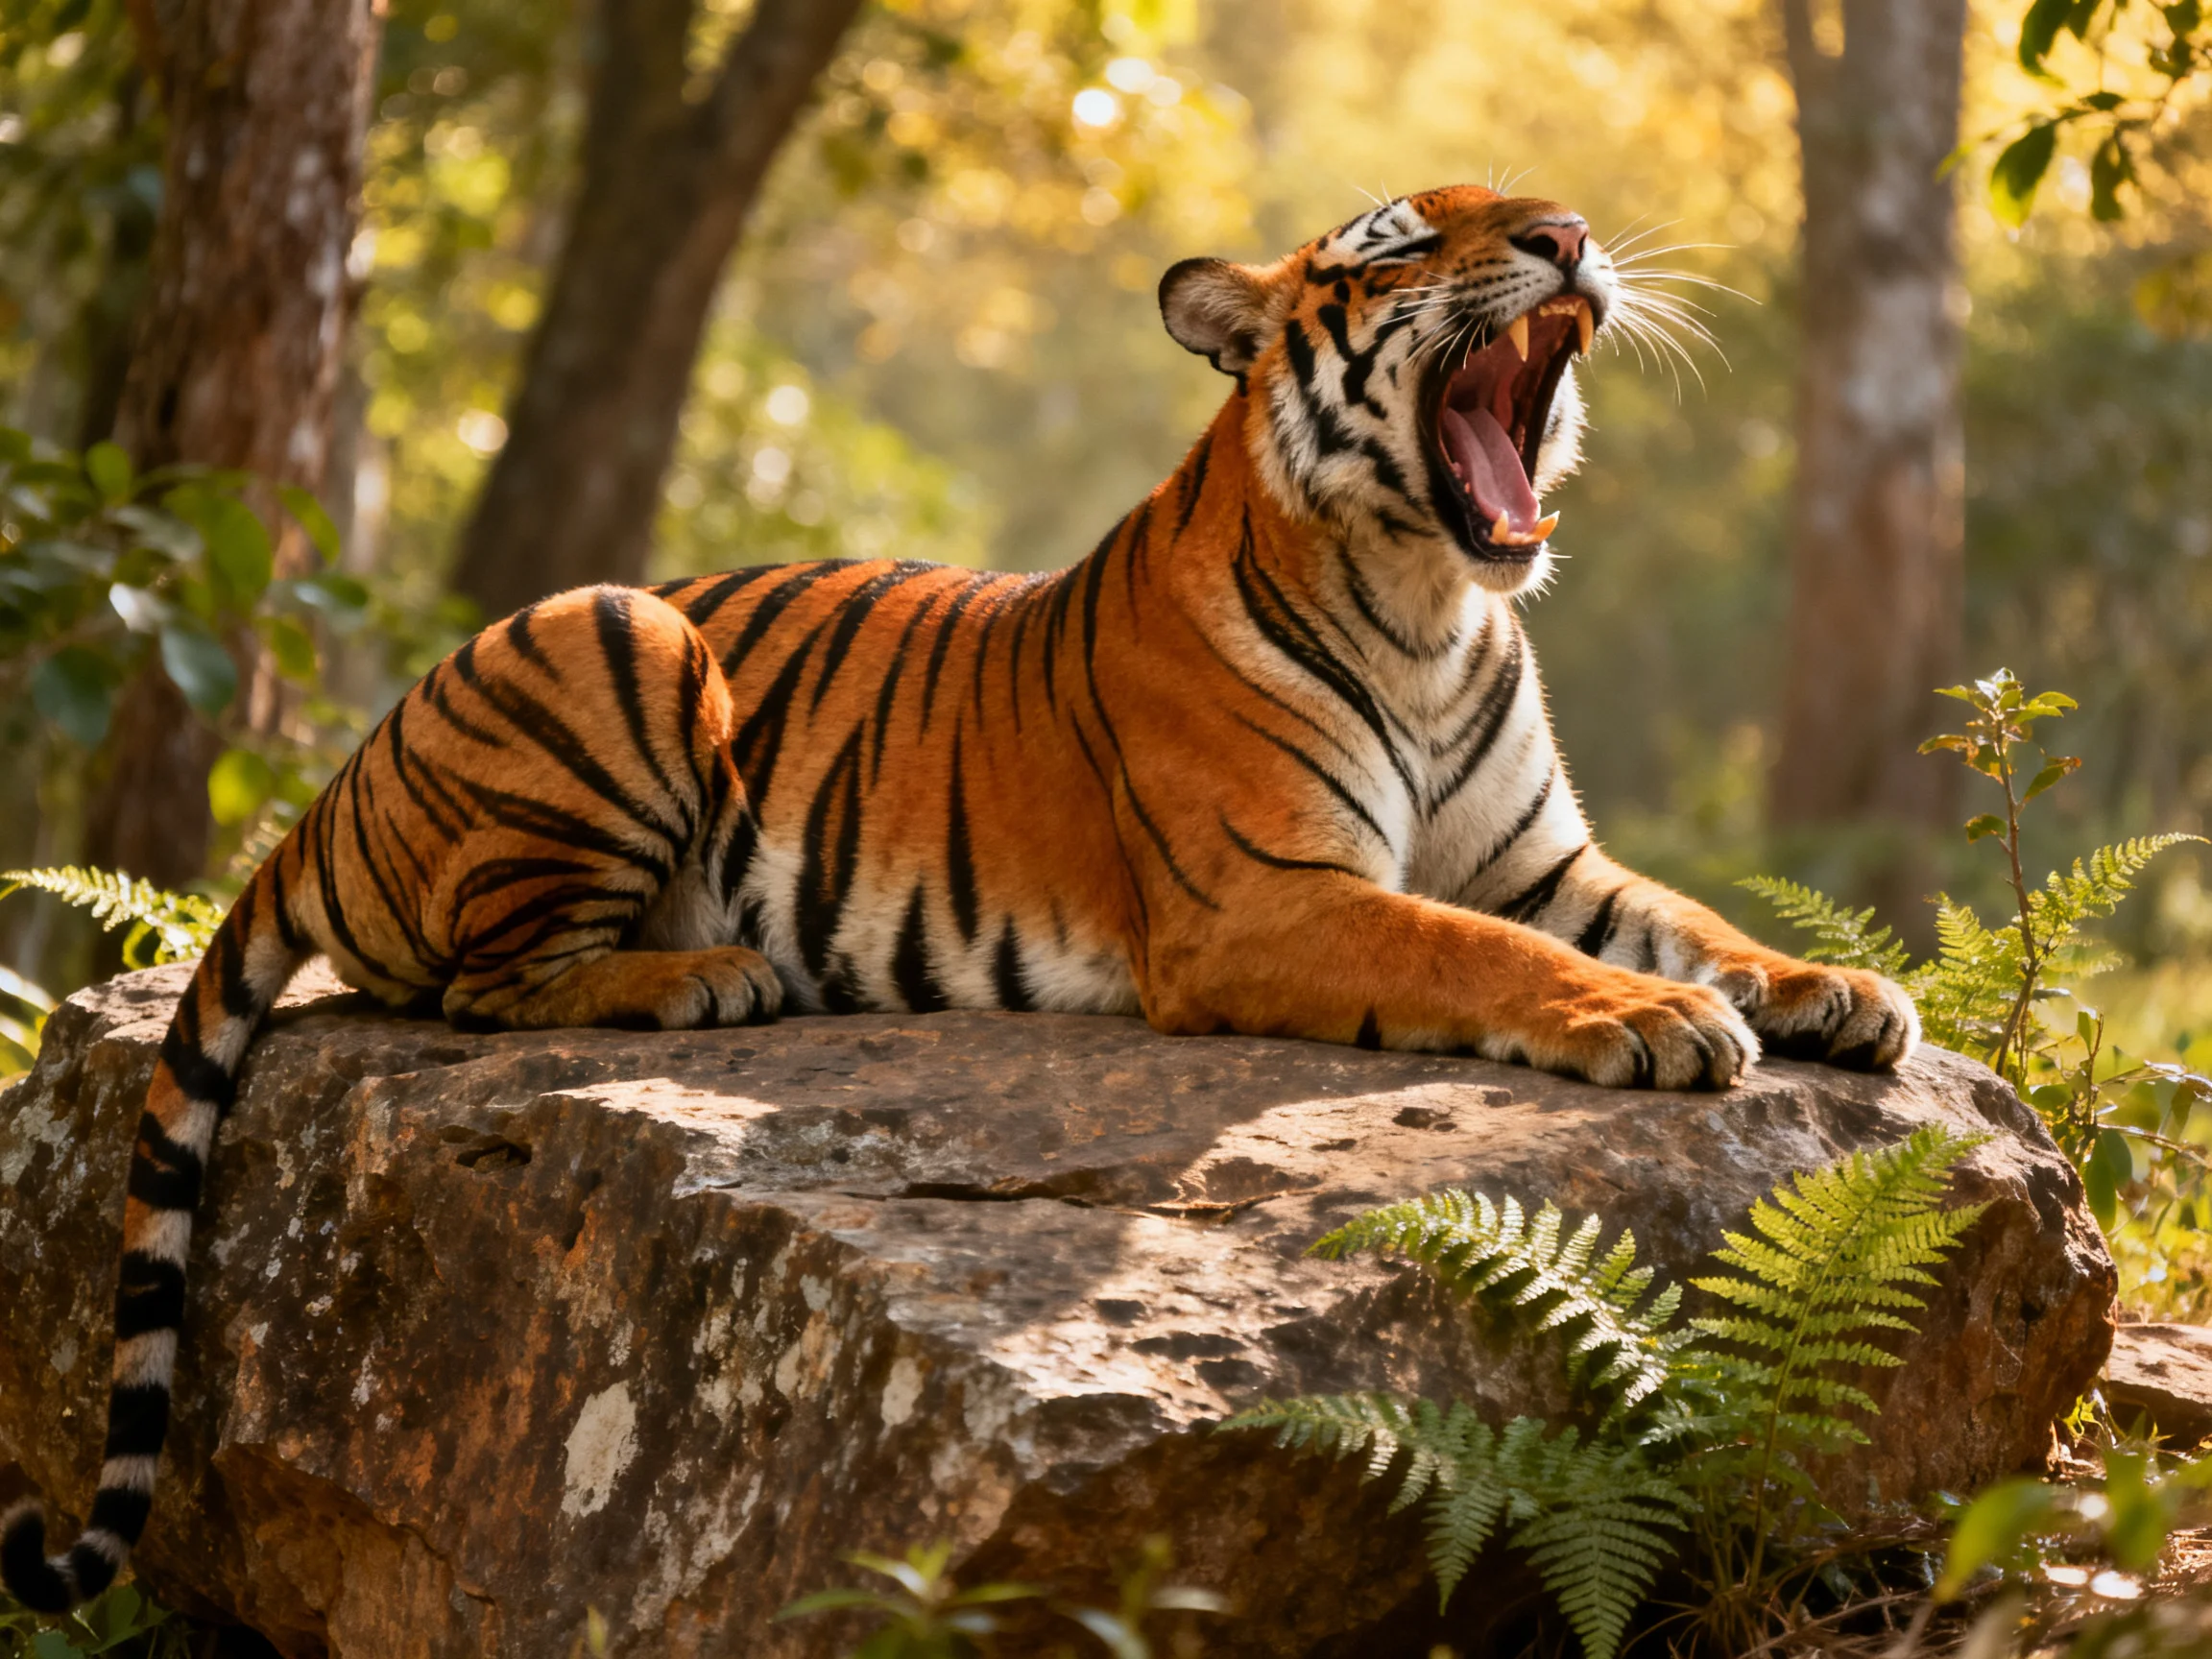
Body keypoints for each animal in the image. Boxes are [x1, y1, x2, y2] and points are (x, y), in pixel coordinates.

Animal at [2, 184, 1919, 1611]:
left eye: (1531, 208)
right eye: (1394, 245)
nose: (1567, 236)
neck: (1439, 607)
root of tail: (333, 781)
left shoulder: (1545, 856)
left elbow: (1683, 915)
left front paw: (1832, 988)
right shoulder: (1267, 897)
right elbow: (1483, 951)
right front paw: (1660, 1020)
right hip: (620, 631)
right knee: (477, 986)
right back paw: (703, 978)